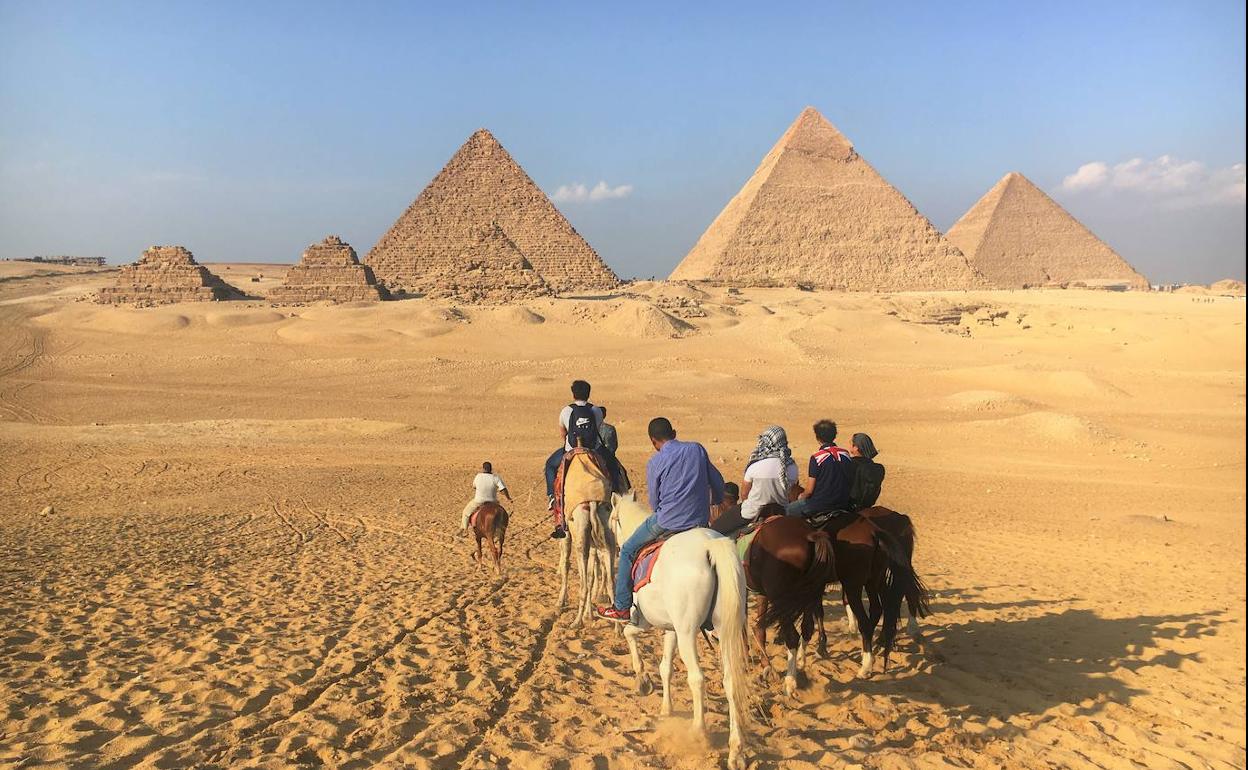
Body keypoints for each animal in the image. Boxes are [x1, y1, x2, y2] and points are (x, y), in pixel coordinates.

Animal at [554, 449, 616, 623]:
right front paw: (590, 613)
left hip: (580, 537)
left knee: (584, 583)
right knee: (610, 580)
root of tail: (592, 501)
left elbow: (566, 565)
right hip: (606, 533)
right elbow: (592, 573)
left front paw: (560, 602)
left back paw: (577, 621)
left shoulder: (566, 534)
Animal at [606, 491, 748, 768]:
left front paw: (642, 680)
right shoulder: (671, 629)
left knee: (698, 678)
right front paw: (665, 708)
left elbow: (629, 634)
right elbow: (665, 668)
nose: (615, 547)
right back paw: (736, 751)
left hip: (688, 634)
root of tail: (709, 546)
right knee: (731, 682)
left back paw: (698, 732)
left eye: (613, 520)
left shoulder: (645, 622)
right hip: (725, 631)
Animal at [738, 504, 838, 698]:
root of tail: (809, 536)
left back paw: (790, 683)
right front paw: (766, 668)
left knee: (792, 636)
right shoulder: (761, 593)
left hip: (784, 599)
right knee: (807, 628)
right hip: (809, 595)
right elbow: (759, 628)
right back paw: (801, 663)